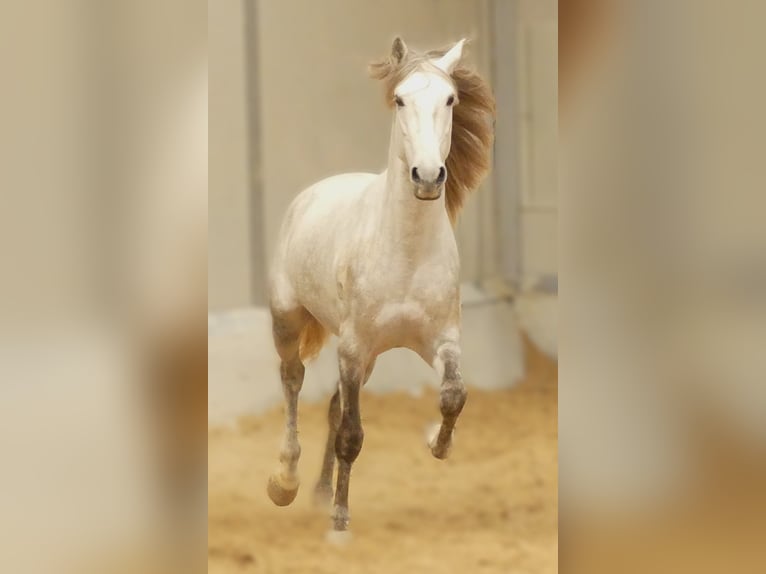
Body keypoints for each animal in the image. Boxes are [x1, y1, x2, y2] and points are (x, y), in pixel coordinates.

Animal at [268, 38, 496, 536]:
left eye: (451, 99)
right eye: (400, 100)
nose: (428, 176)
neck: (405, 253)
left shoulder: (439, 340)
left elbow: (454, 395)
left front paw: (438, 445)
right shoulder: (353, 348)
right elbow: (352, 433)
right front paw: (340, 519)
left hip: (367, 357)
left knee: (333, 405)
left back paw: (318, 490)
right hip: (288, 321)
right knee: (293, 381)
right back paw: (285, 483)